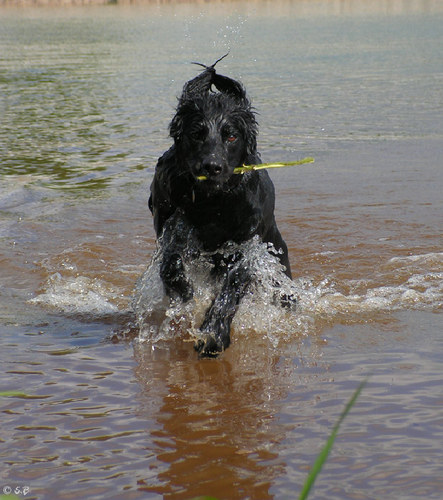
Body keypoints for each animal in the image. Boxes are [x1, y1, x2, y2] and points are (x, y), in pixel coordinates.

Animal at [149, 56, 294, 358]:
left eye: (231, 136)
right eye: (196, 134)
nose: (212, 167)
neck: (212, 203)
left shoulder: (245, 246)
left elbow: (232, 286)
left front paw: (213, 335)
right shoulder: (169, 226)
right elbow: (171, 266)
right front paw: (184, 293)